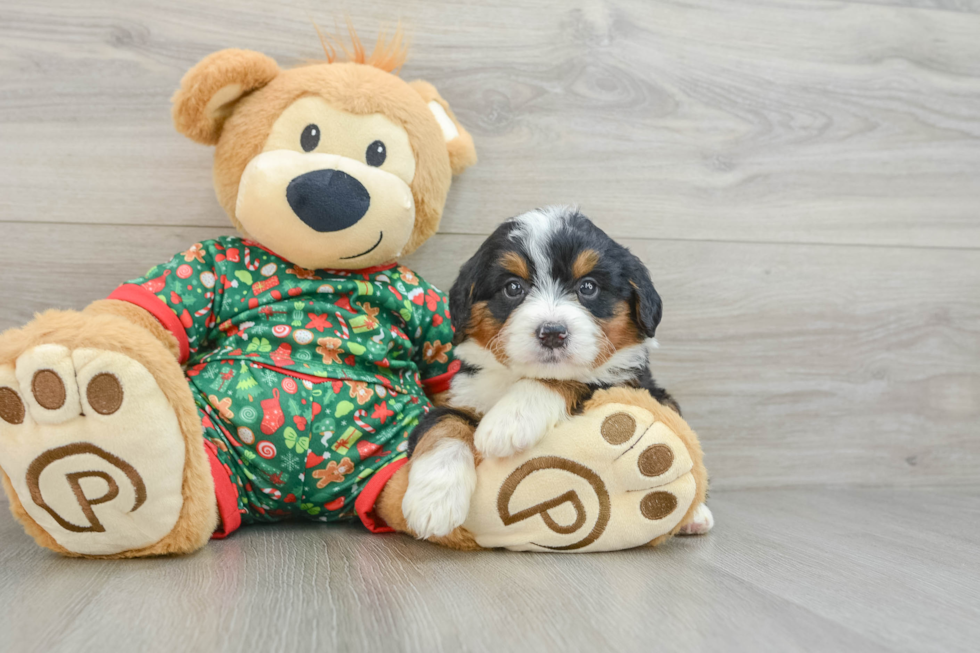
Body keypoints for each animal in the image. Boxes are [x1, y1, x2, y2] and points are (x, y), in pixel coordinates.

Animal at [398, 208, 712, 540]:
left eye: (588, 287)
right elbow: (442, 425)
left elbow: (570, 378)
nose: (552, 333)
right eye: (513, 288)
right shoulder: (463, 395)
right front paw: (433, 502)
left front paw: (509, 420)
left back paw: (695, 516)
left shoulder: (625, 383)